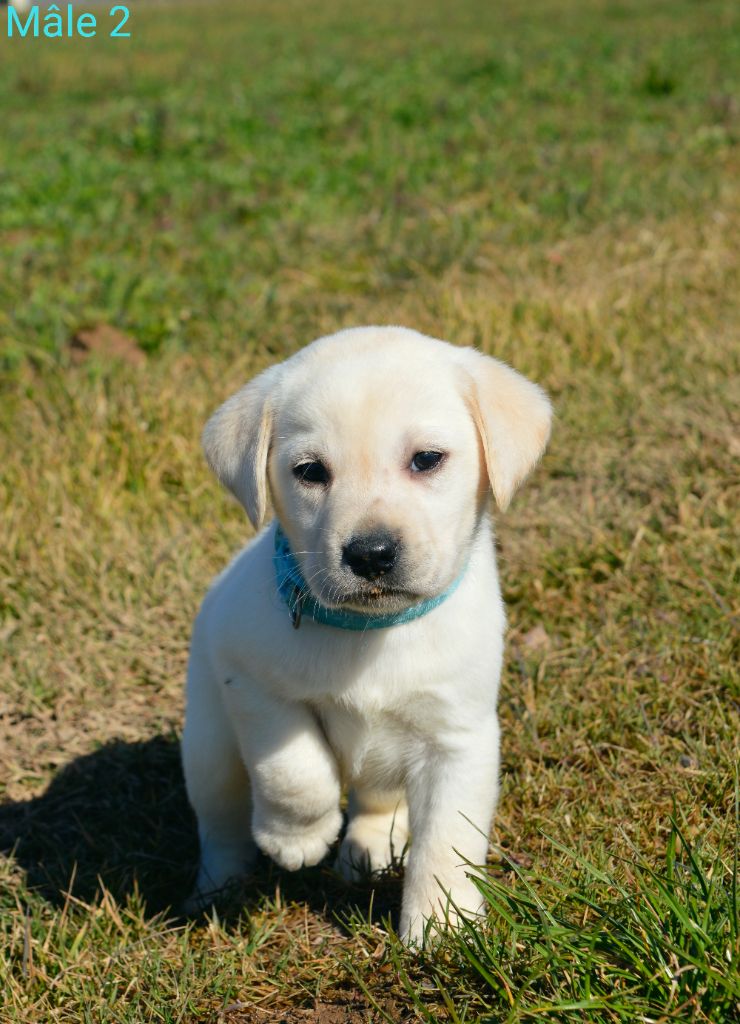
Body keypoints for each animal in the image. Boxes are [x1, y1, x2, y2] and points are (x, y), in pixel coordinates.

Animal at [183, 327, 552, 942]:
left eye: (426, 460)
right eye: (310, 471)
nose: (371, 554)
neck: (373, 632)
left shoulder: (456, 739)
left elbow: (447, 840)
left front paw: (440, 925)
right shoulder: (253, 684)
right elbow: (293, 768)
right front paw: (297, 836)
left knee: (377, 804)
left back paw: (368, 847)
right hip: (209, 749)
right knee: (221, 827)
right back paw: (216, 889)